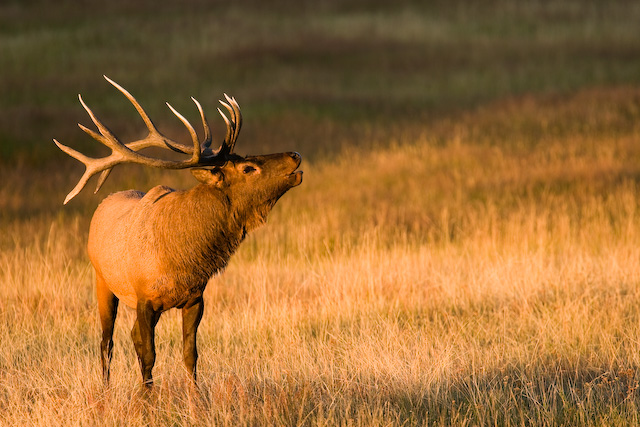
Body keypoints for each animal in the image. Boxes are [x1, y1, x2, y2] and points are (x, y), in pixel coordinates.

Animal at [54, 76, 303, 387]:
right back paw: (107, 388)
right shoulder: (144, 298)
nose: (295, 155)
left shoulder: (195, 298)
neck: (183, 258)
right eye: (248, 168)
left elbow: (189, 355)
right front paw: (146, 398)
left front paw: (194, 396)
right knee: (106, 342)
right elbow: (149, 354)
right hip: (102, 280)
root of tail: (105, 201)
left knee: (130, 336)